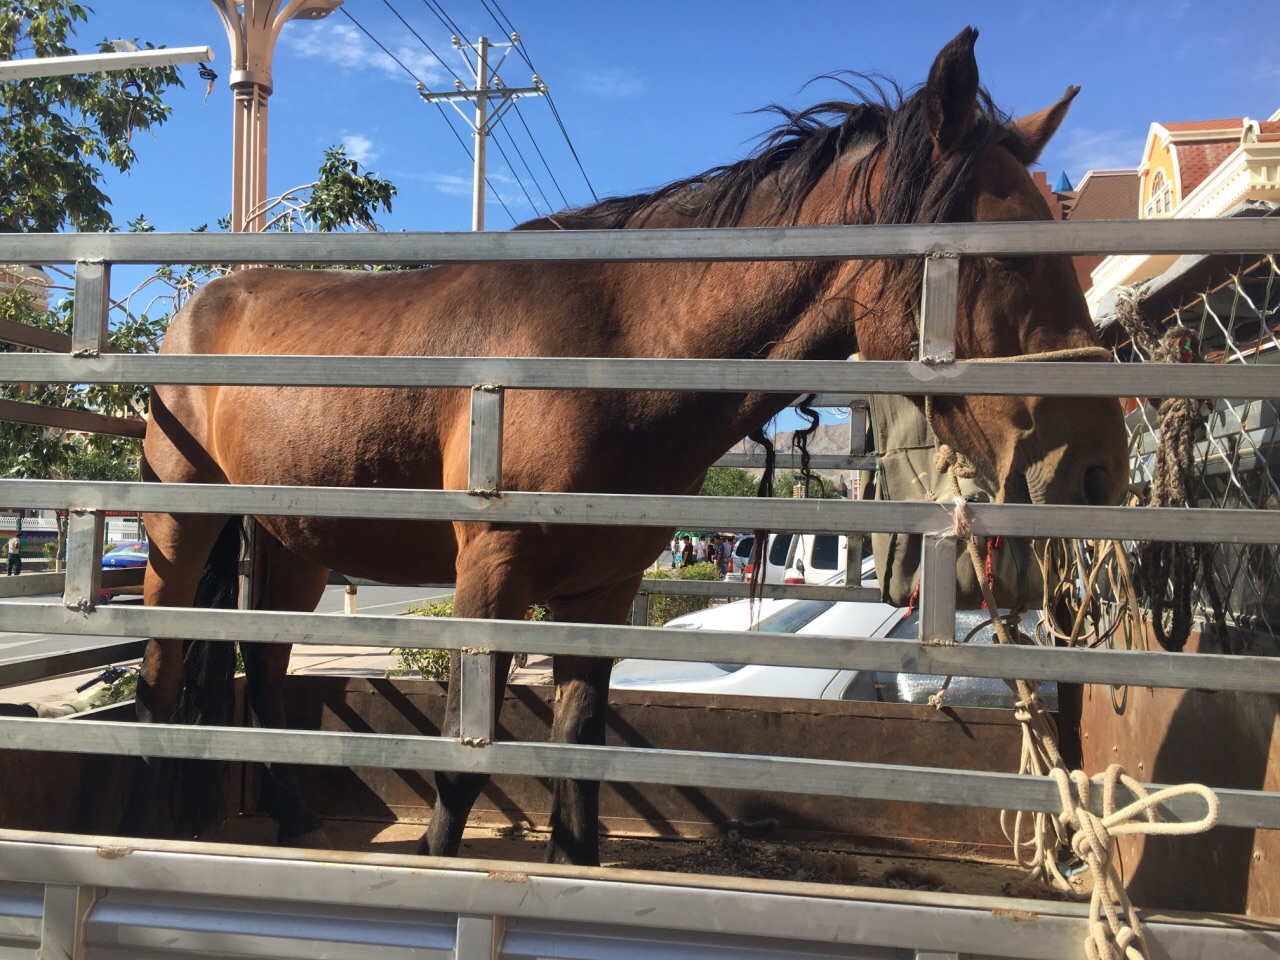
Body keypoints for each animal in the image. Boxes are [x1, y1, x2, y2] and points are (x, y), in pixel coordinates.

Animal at [135, 30, 1126, 870]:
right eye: (1000, 255)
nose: (1096, 469)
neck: (605, 347)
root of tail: (199, 303)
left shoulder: (601, 593)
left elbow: (578, 763)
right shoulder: (489, 579)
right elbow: (463, 762)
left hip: (293, 544)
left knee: (262, 670)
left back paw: (289, 817)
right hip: (180, 530)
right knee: (161, 659)